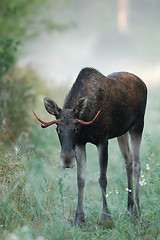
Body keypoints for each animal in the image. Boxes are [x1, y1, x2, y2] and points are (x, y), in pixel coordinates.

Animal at [33, 68, 148, 227]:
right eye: (58, 129)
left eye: (75, 128)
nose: (67, 160)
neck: (86, 117)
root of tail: (143, 83)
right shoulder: (80, 144)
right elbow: (80, 180)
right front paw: (79, 218)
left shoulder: (103, 140)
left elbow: (102, 179)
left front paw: (106, 219)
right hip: (122, 132)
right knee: (128, 161)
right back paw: (128, 209)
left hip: (138, 125)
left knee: (137, 163)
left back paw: (136, 211)